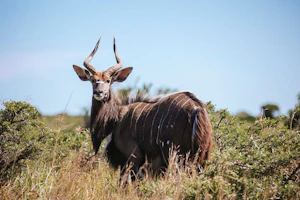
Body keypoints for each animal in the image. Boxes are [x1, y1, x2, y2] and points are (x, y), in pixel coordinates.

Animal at [73, 36, 212, 180]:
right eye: (93, 80)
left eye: (108, 80)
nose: (99, 92)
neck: (116, 118)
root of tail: (197, 109)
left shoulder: (133, 157)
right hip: (202, 157)